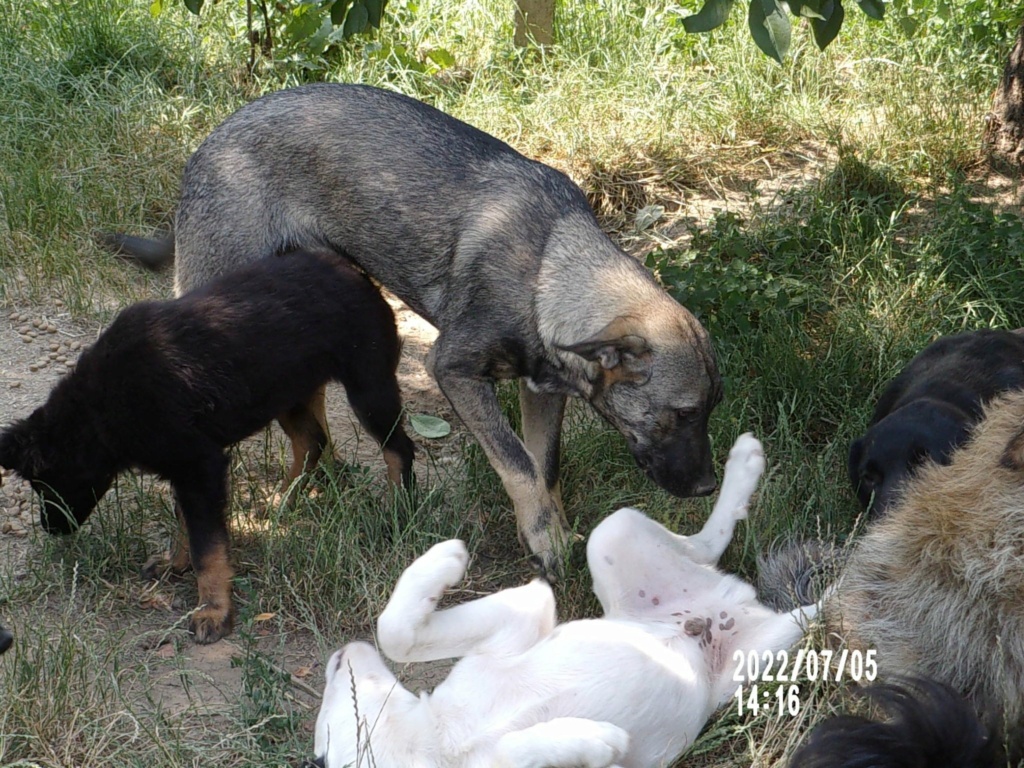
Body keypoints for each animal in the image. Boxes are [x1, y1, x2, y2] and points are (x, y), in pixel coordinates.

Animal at [2, 250, 415, 643]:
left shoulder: (200, 465)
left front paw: (213, 612)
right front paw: (175, 563)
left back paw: (398, 511)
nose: (51, 529)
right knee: (312, 441)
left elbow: (208, 547)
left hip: (368, 384)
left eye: (45, 484)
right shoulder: (185, 469)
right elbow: (186, 521)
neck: (99, 408)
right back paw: (282, 502)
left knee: (398, 447)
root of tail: (354, 273)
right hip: (286, 389)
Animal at [110, 85, 720, 577]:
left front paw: (556, 531)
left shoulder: (540, 391)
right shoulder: (454, 370)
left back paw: (311, 486)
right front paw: (545, 539)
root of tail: (212, 139)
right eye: (684, 413)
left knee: (310, 412)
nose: (709, 488)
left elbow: (544, 467)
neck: (547, 271)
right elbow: (519, 464)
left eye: (707, 412)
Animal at [311, 436, 815, 765]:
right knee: (805, 616)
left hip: (610, 531)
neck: (440, 741)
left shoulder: (517, 622)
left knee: (706, 545)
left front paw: (446, 560)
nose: (338, 655)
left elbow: (395, 634)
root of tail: (730, 604)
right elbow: (528, 752)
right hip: (759, 659)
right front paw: (593, 738)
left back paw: (745, 464)